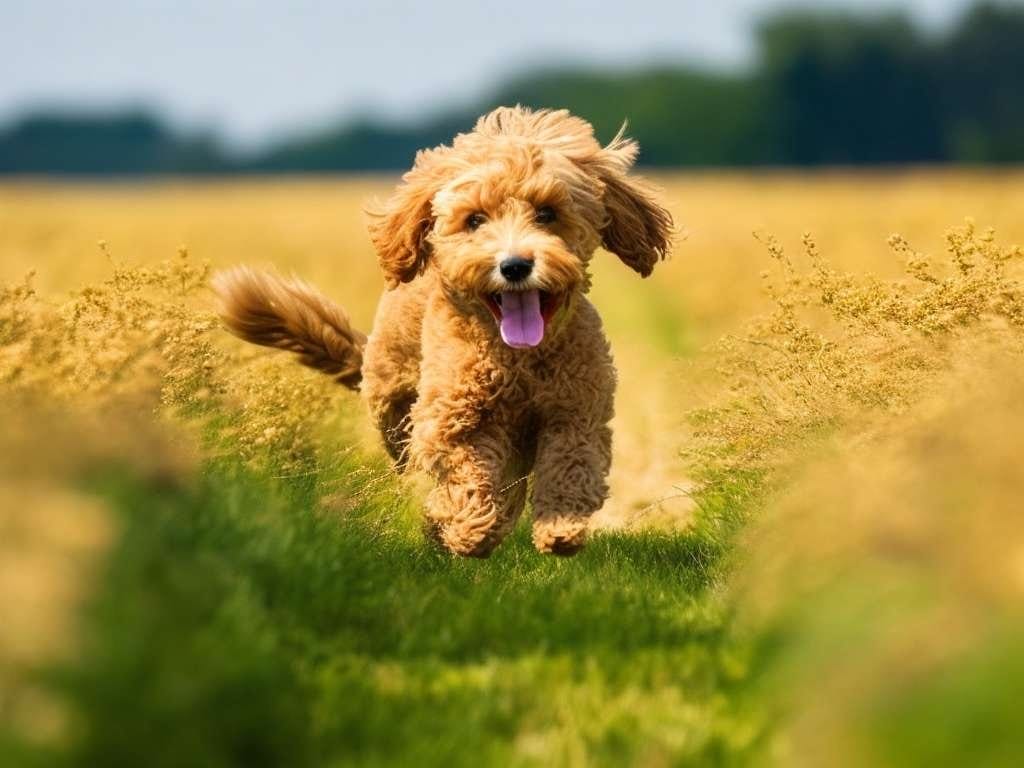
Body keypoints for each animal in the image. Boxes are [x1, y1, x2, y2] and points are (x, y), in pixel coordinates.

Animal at [214, 105, 671, 557]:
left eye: (547, 214)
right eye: (475, 220)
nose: (515, 265)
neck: (517, 358)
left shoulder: (577, 409)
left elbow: (571, 464)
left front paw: (561, 527)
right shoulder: (452, 417)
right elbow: (467, 472)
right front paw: (470, 531)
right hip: (392, 403)